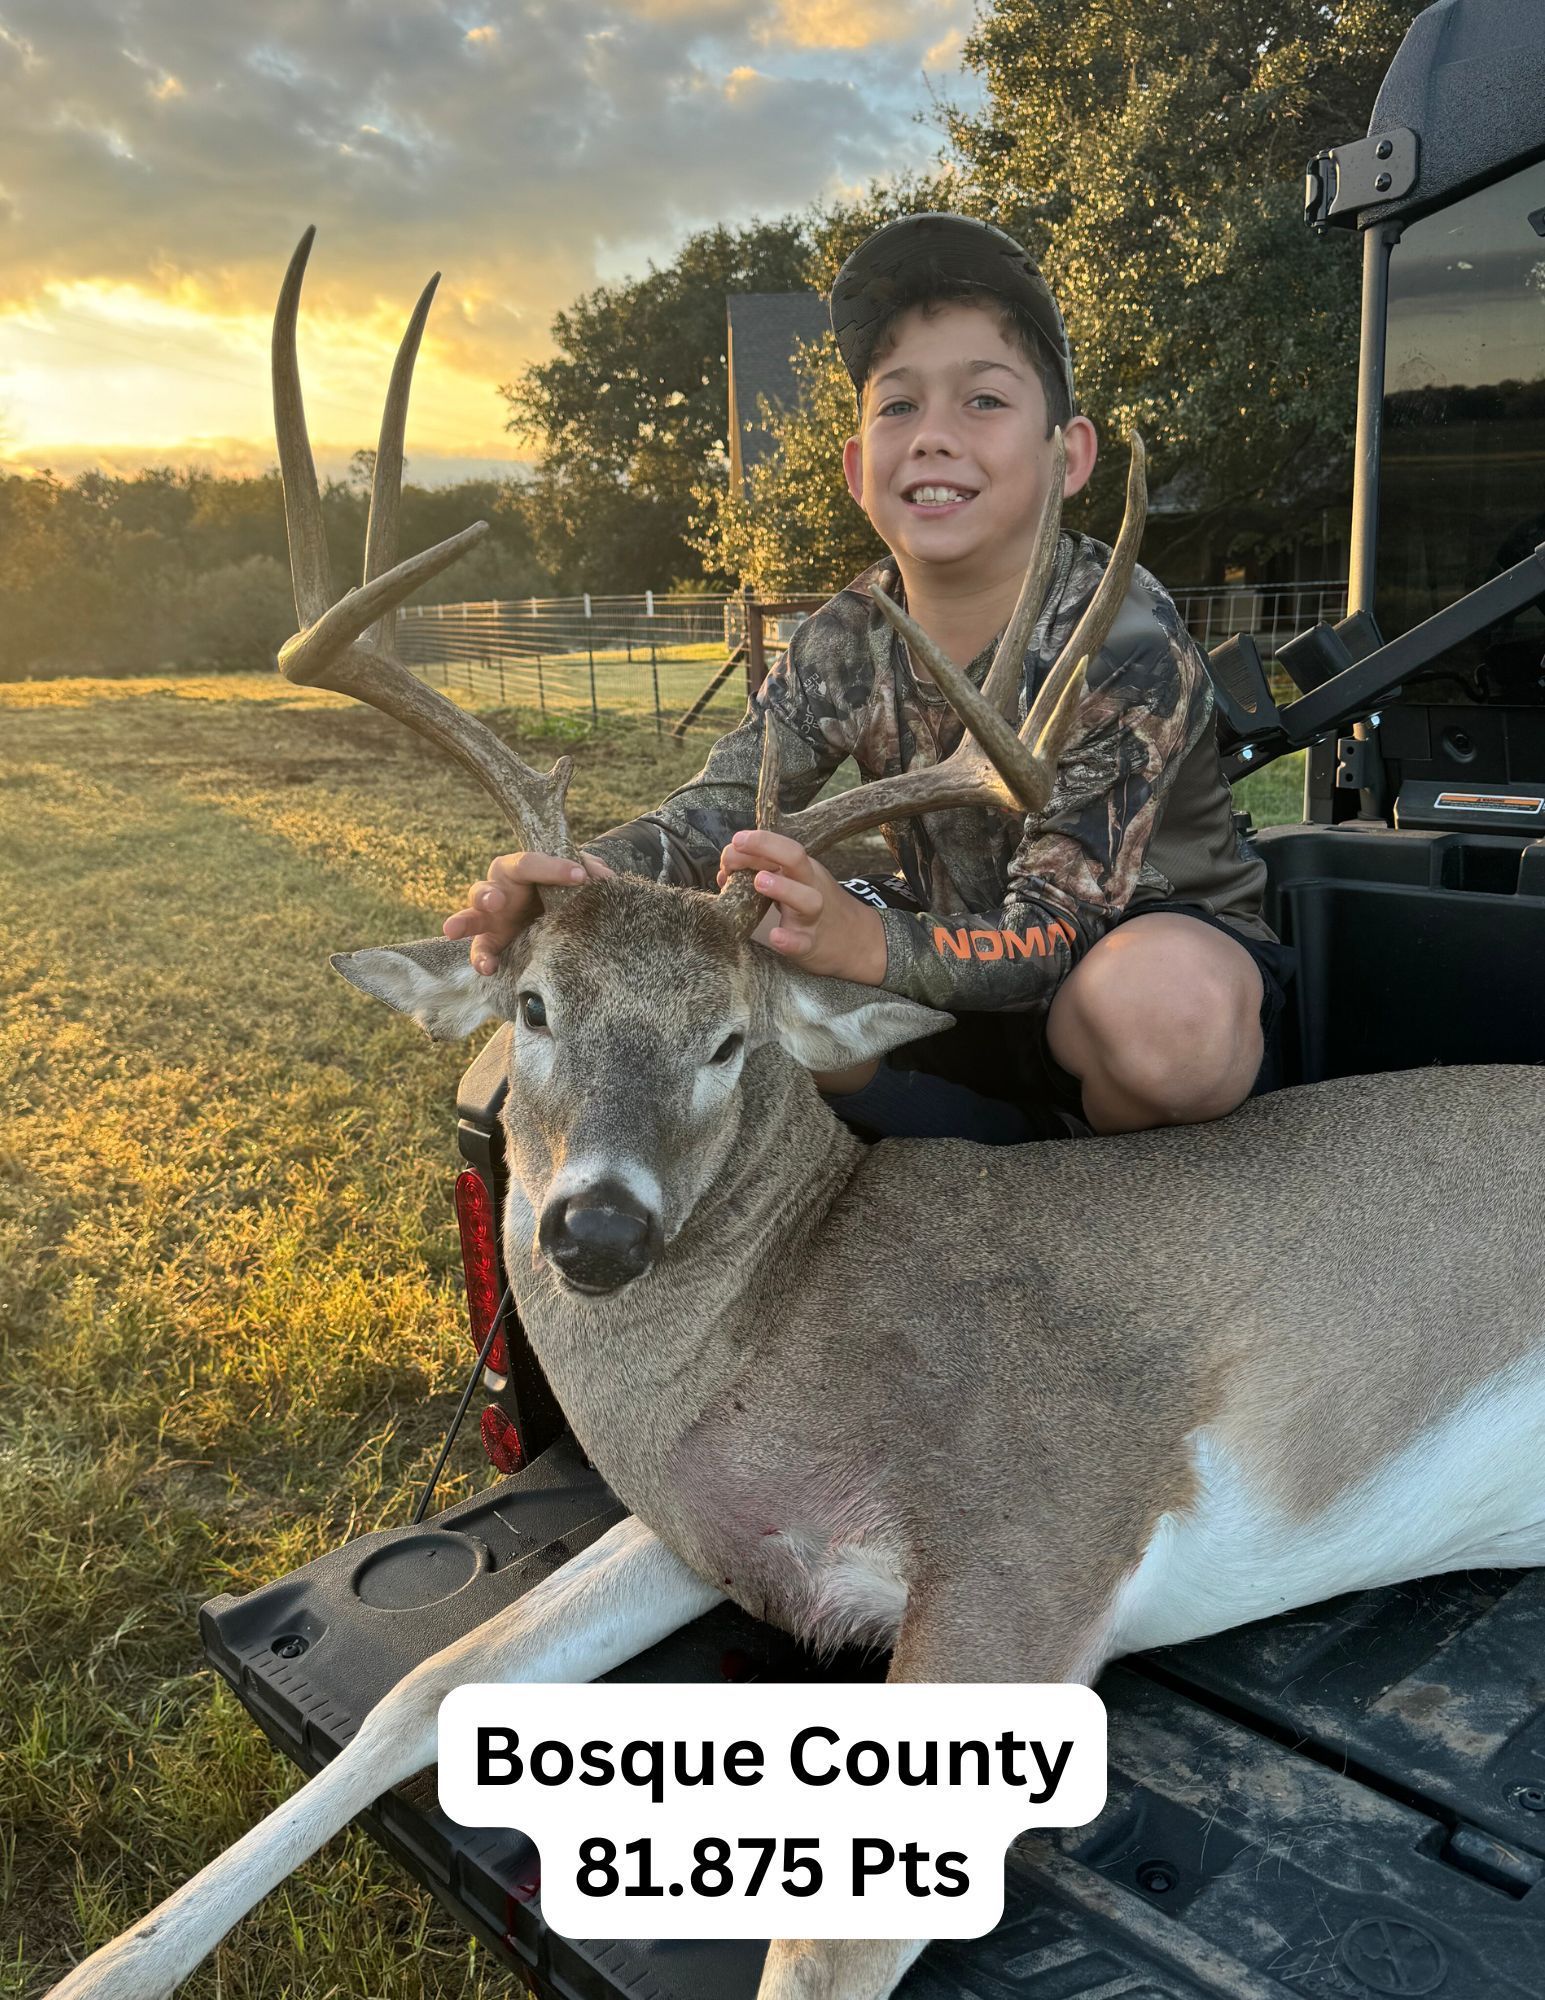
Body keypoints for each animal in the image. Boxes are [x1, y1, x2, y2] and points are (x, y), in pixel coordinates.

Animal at [46, 231, 1545, 2000]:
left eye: (727, 1042)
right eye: (531, 1006)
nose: (594, 1227)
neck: (788, 1318)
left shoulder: (1038, 1533)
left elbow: (816, 1948)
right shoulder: (692, 1518)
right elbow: (426, 1685)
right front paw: (106, 1967)